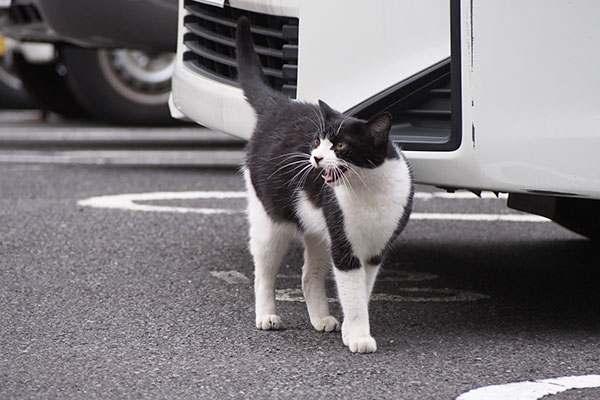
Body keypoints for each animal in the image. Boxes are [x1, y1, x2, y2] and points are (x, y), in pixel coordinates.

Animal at [234, 16, 412, 354]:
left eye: (340, 146)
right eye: (318, 141)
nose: (315, 157)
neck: (369, 189)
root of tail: (279, 106)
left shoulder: (375, 249)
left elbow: (362, 293)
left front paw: (350, 331)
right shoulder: (345, 247)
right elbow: (353, 295)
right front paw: (359, 337)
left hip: (318, 228)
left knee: (309, 274)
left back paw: (321, 319)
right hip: (270, 220)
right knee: (263, 271)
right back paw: (267, 316)